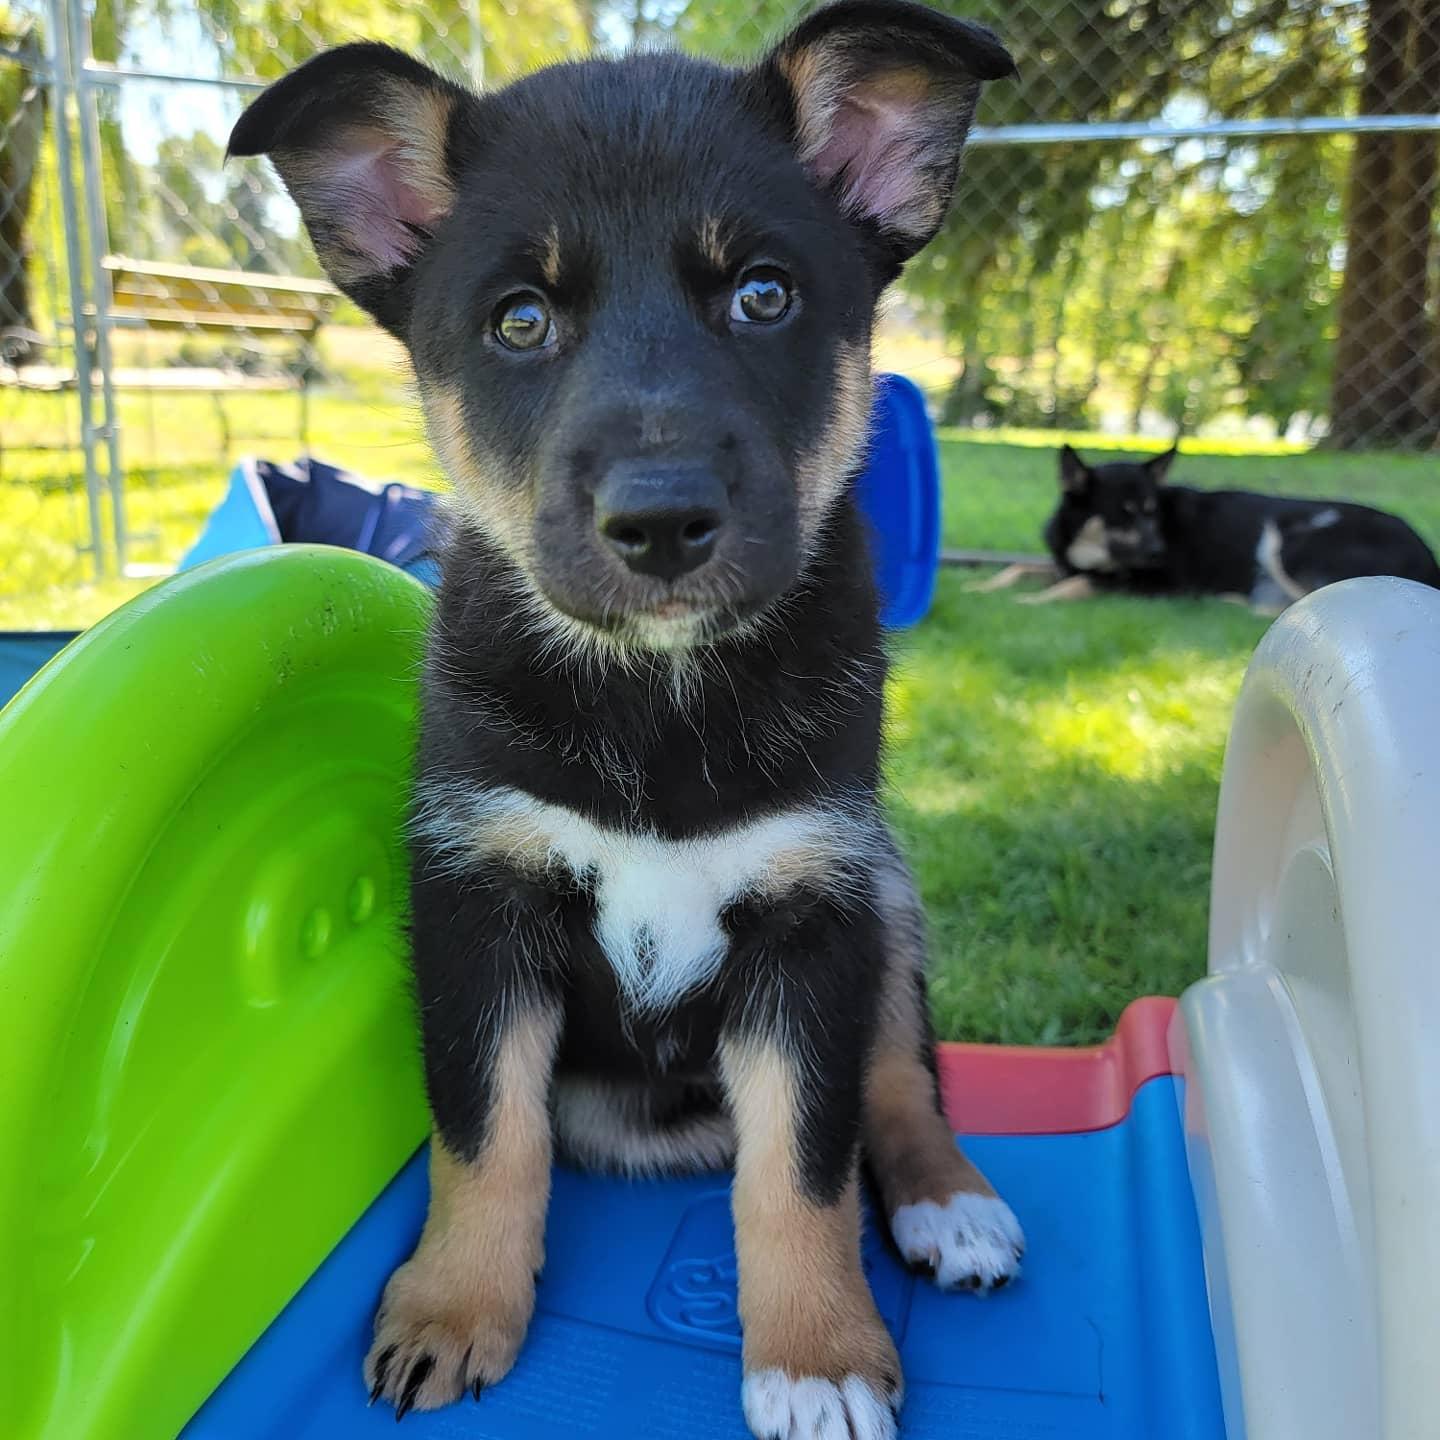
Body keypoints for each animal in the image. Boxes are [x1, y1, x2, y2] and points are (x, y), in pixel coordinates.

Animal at [230, 6, 1018, 1437]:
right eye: (520, 318)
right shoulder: (477, 901)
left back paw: (952, 1204)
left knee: (898, 1075)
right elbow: (486, 1132)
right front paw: (454, 1310)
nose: (660, 523)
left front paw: (817, 1355)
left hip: (888, 894)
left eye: (763, 294)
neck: (656, 696)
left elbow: (803, 1165)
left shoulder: (814, 909)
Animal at [984, 444, 1440, 609]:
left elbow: (1082, 583)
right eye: (1123, 513)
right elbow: (1020, 567)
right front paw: (982, 588)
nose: (1157, 551)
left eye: (1151, 511)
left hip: (1291, 540)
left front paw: (1029, 601)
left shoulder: (1161, 583)